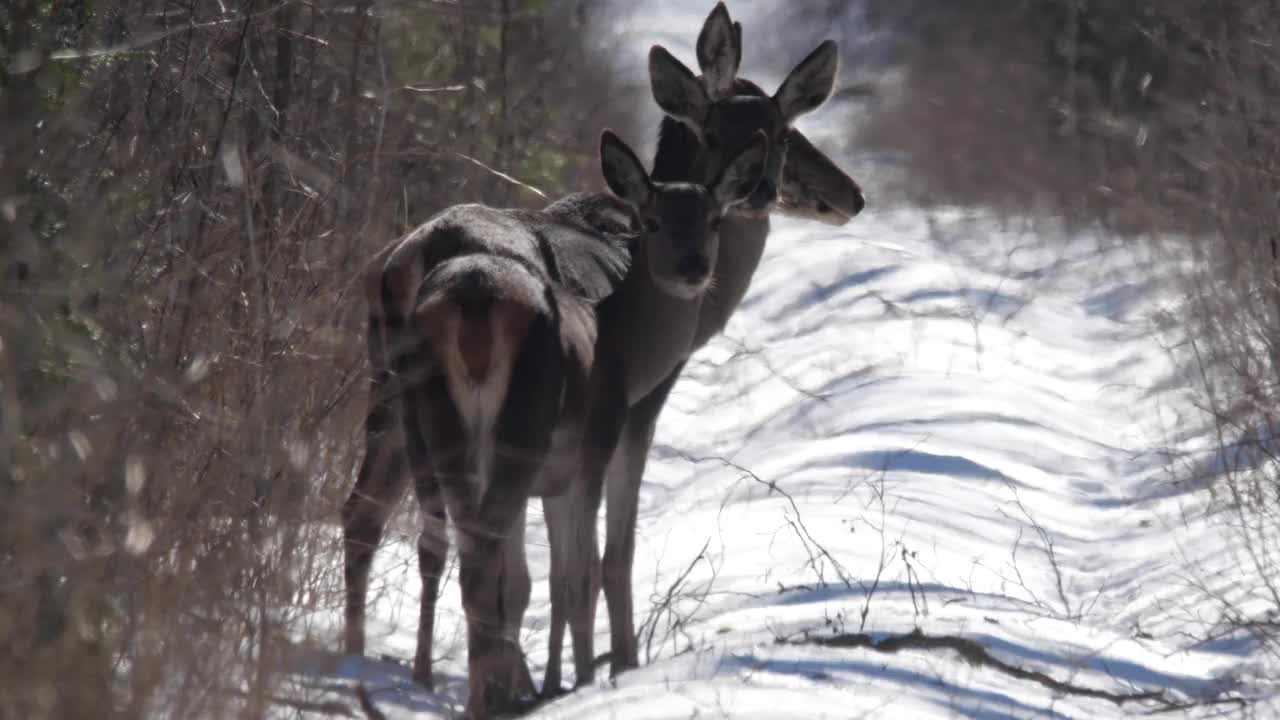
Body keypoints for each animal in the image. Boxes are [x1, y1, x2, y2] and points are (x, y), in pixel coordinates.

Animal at [335, 126, 768, 712]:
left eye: (714, 218)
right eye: (653, 220)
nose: (693, 267)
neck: (621, 334)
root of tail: (472, 300)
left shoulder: (554, 479)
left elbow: (544, 577)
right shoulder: (597, 443)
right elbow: (582, 573)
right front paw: (584, 680)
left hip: (427, 421)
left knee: (403, 524)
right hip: (519, 430)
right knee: (482, 549)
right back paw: (492, 694)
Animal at [535, 2, 865, 691]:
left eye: (782, 132)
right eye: (713, 134)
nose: (853, 193)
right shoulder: (644, 398)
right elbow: (614, 553)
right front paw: (622, 663)